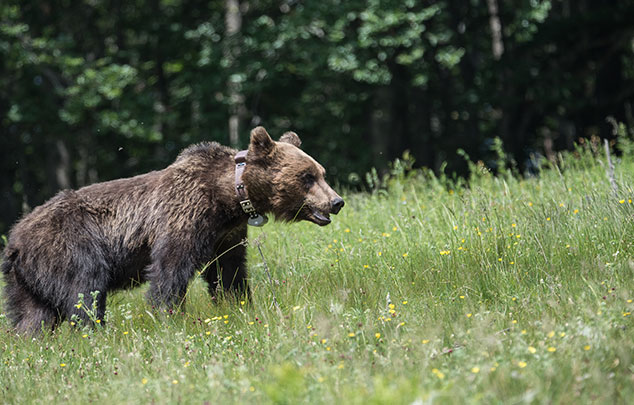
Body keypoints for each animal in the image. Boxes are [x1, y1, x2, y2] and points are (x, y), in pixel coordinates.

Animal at [0, 128, 344, 332]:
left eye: (321, 172)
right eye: (307, 176)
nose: (336, 202)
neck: (230, 198)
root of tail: (14, 240)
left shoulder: (227, 234)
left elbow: (228, 271)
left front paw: (239, 304)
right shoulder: (185, 216)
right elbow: (170, 268)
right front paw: (168, 316)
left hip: (27, 280)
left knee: (33, 315)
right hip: (67, 246)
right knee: (85, 289)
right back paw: (96, 329)